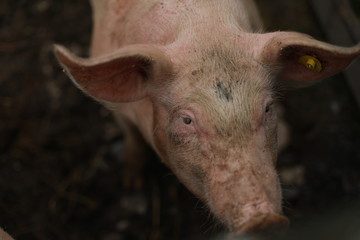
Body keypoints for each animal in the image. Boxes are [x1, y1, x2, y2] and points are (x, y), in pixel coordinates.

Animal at [53, 0, 360, 236]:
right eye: (186, 120)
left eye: (267, 108)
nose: (264, 219)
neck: (202, 28)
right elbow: (132, 138)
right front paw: (132, 184)